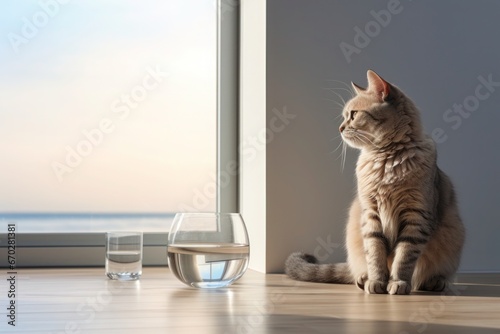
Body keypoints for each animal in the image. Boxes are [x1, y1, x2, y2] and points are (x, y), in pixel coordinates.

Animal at [286, 70, 464, 294]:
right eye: (345, 116)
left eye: (353, 115)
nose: (340, 128)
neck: (387, 162)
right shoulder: (371, 215)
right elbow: (375, 254)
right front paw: (377, 281)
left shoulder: (416, 216)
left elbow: (404, 257)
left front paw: (397, 282)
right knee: (359, 267)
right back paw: (363, 279)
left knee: (432, 274)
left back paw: (435, 282)